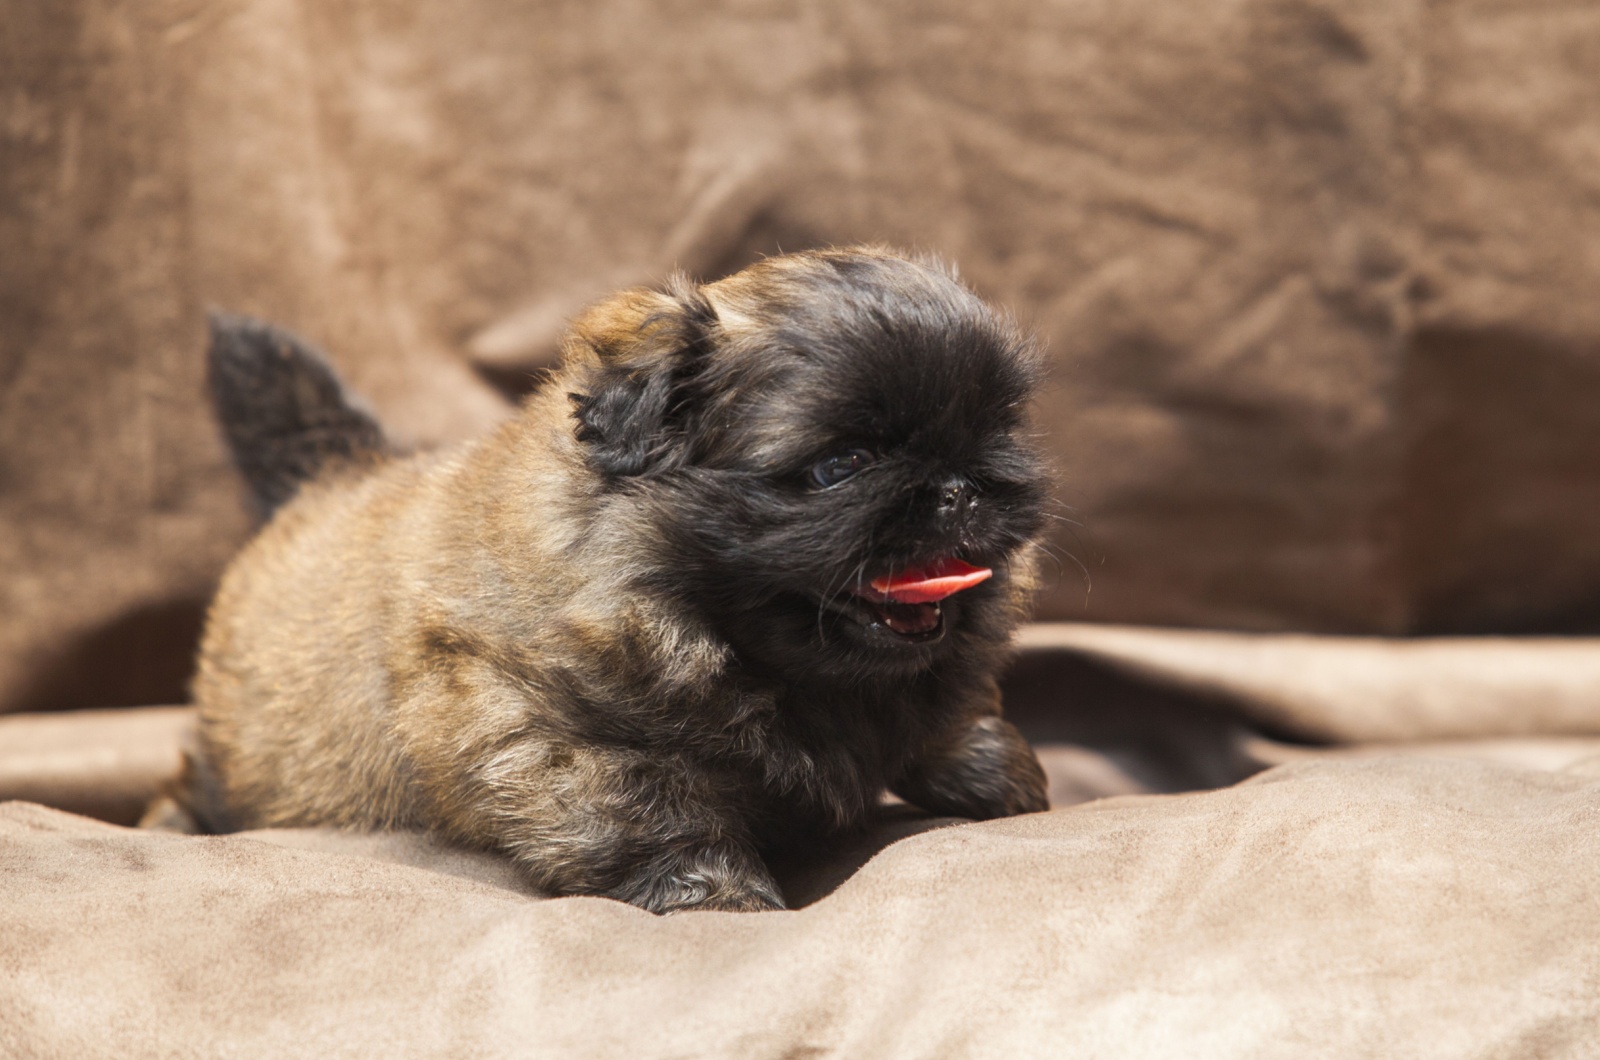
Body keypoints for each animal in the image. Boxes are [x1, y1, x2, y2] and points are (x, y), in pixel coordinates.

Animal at [181, 249, 1049, 915]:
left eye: (993, 432)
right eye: (843, 465)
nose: (958, 487)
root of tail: (330, 475)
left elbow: (945, 716)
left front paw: (996, 771)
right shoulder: (539, 733)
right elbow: (655, 813)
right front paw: (719, 895)